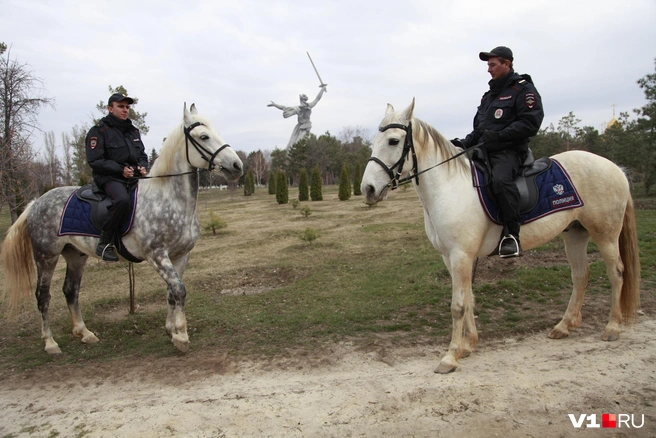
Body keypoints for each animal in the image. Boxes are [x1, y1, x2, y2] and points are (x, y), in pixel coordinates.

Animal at [2, 103, 243, 356]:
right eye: (204, 136)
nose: (237, 166)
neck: (167, 199)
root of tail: (35, 203)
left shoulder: (180, 255)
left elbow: (171, 292)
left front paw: (171, 330)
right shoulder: (157, 255)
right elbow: (178, 289)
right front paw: (181, 335)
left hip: (75, 255)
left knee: (70, 290)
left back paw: (84, 333)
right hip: (46, 256)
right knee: (43, 296)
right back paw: (50, 343)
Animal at [362, 99, 640, 372]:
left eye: (393, 141)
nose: (368, 189)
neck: (449, 188)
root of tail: (616, 168)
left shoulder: (461, 255)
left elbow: (458, 305)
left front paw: (450, 356)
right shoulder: (450, 258)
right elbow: (469, 299)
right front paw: (468, 346)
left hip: (605, 235)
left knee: (616, 273)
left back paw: (612, 327)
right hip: (575, 235)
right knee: (581, 275)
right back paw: (564, 325)